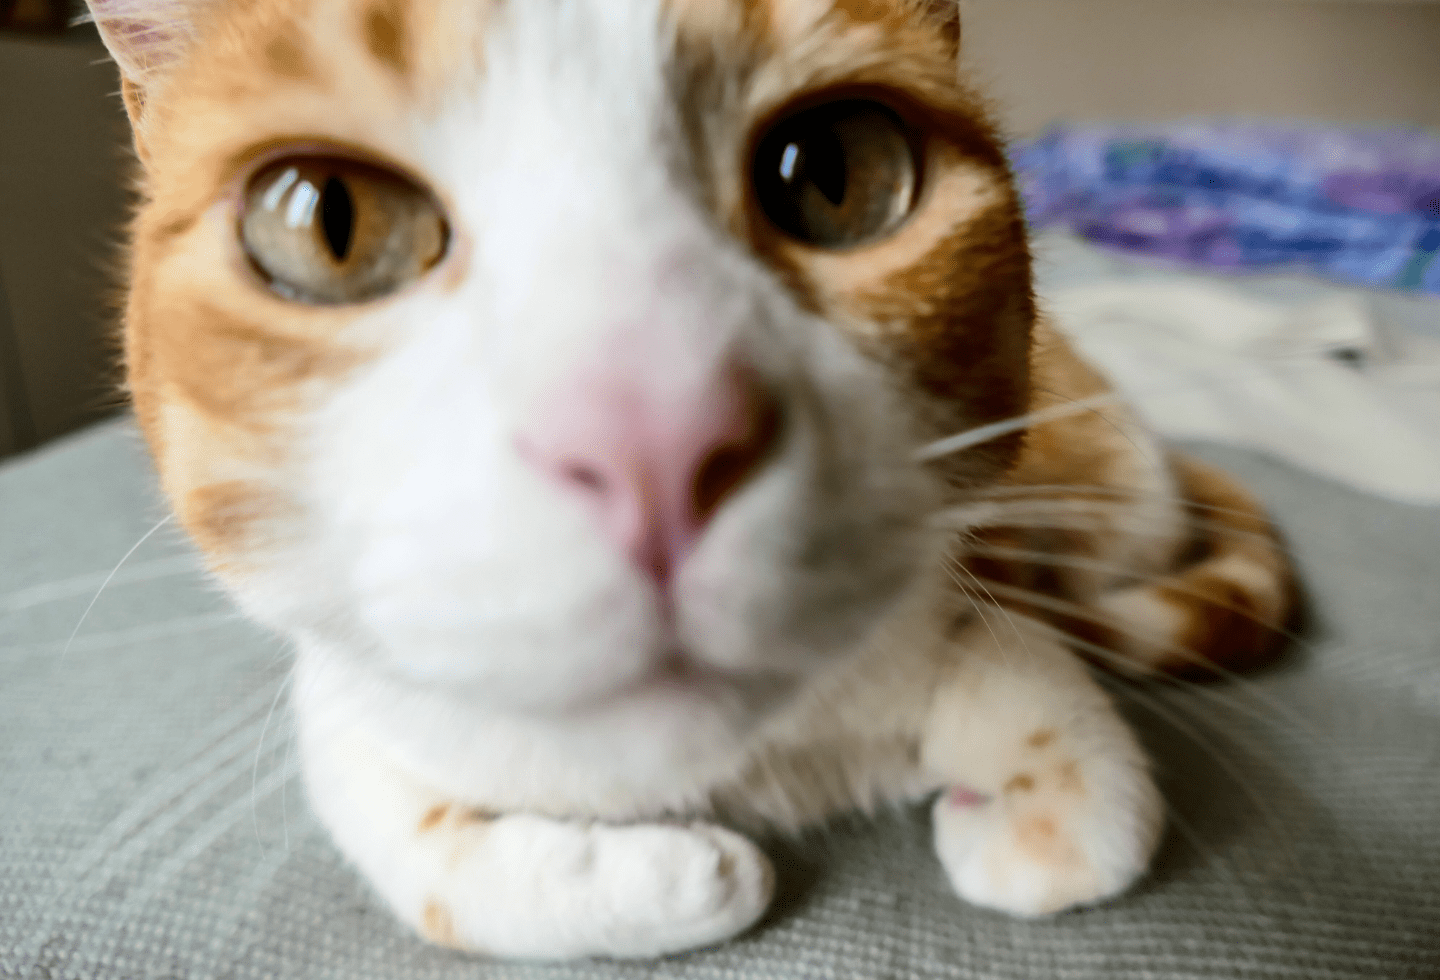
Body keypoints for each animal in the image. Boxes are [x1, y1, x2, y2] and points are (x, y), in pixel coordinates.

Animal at [87, 0, 1296, 961]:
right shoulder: (354, 715)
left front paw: (1014, 821)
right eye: (328, 222)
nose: (653, 437)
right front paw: (689, 873)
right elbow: (436, 863)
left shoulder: (960, 586)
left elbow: (1090, 790)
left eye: (835, 173)